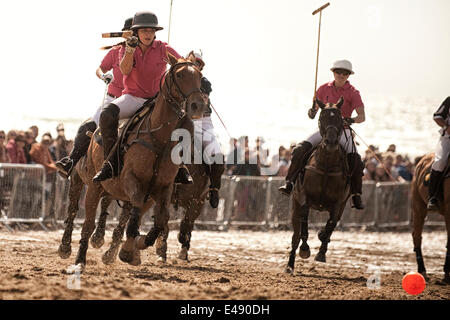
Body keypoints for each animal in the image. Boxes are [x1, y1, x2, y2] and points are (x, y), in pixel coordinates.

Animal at [58, 53, 207, 270]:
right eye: (179, 75)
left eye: (199, 76)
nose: (198, 106)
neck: (160, 139)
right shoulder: (131, 179)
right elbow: (134, 217)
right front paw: (131, 248)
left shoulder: (163, 188)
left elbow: (160, 220)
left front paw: (134, 248)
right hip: (85, 182)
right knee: (79, 217)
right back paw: (73, 254)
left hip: (115, 189)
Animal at [286, 97, 350, 272]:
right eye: (322, 117)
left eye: (340, 118)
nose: (331, 141)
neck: (326, 166)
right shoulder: (304, 197)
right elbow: (304, 224)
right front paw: (305, 249)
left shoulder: (339, 202)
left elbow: (331, 224)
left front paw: (321, 250)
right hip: (294, 204)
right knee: (295, 235)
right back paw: (290, 264)